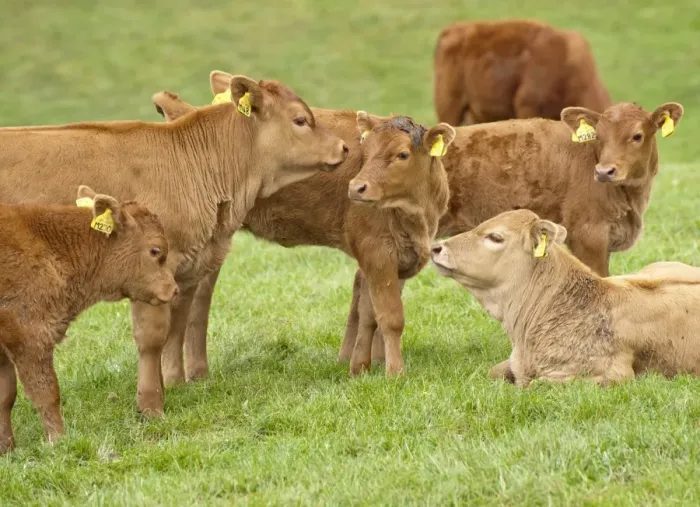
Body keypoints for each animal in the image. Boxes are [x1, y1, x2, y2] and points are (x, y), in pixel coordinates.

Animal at [0, 75, 348, 415]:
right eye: (300, 119)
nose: (343, 146)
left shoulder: (187, 271)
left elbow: (177, 326)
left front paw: (172, 386)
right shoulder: (150, 271)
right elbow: (152, 337)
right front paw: (151, 404)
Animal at [0, 187, 178, 452]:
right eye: (155, 250)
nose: (174, 289)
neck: (51, 244)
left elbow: (5, 395)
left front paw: (7, 448)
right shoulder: (30, 336)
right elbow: (46, 392)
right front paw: (58, 441)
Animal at [151, 75, 681, 376]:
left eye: (638, 135)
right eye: (603, 137)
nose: (607, 170)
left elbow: (370, 308)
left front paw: (365, 366)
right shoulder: (590, 238)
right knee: (198, 300)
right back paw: (193, 372)